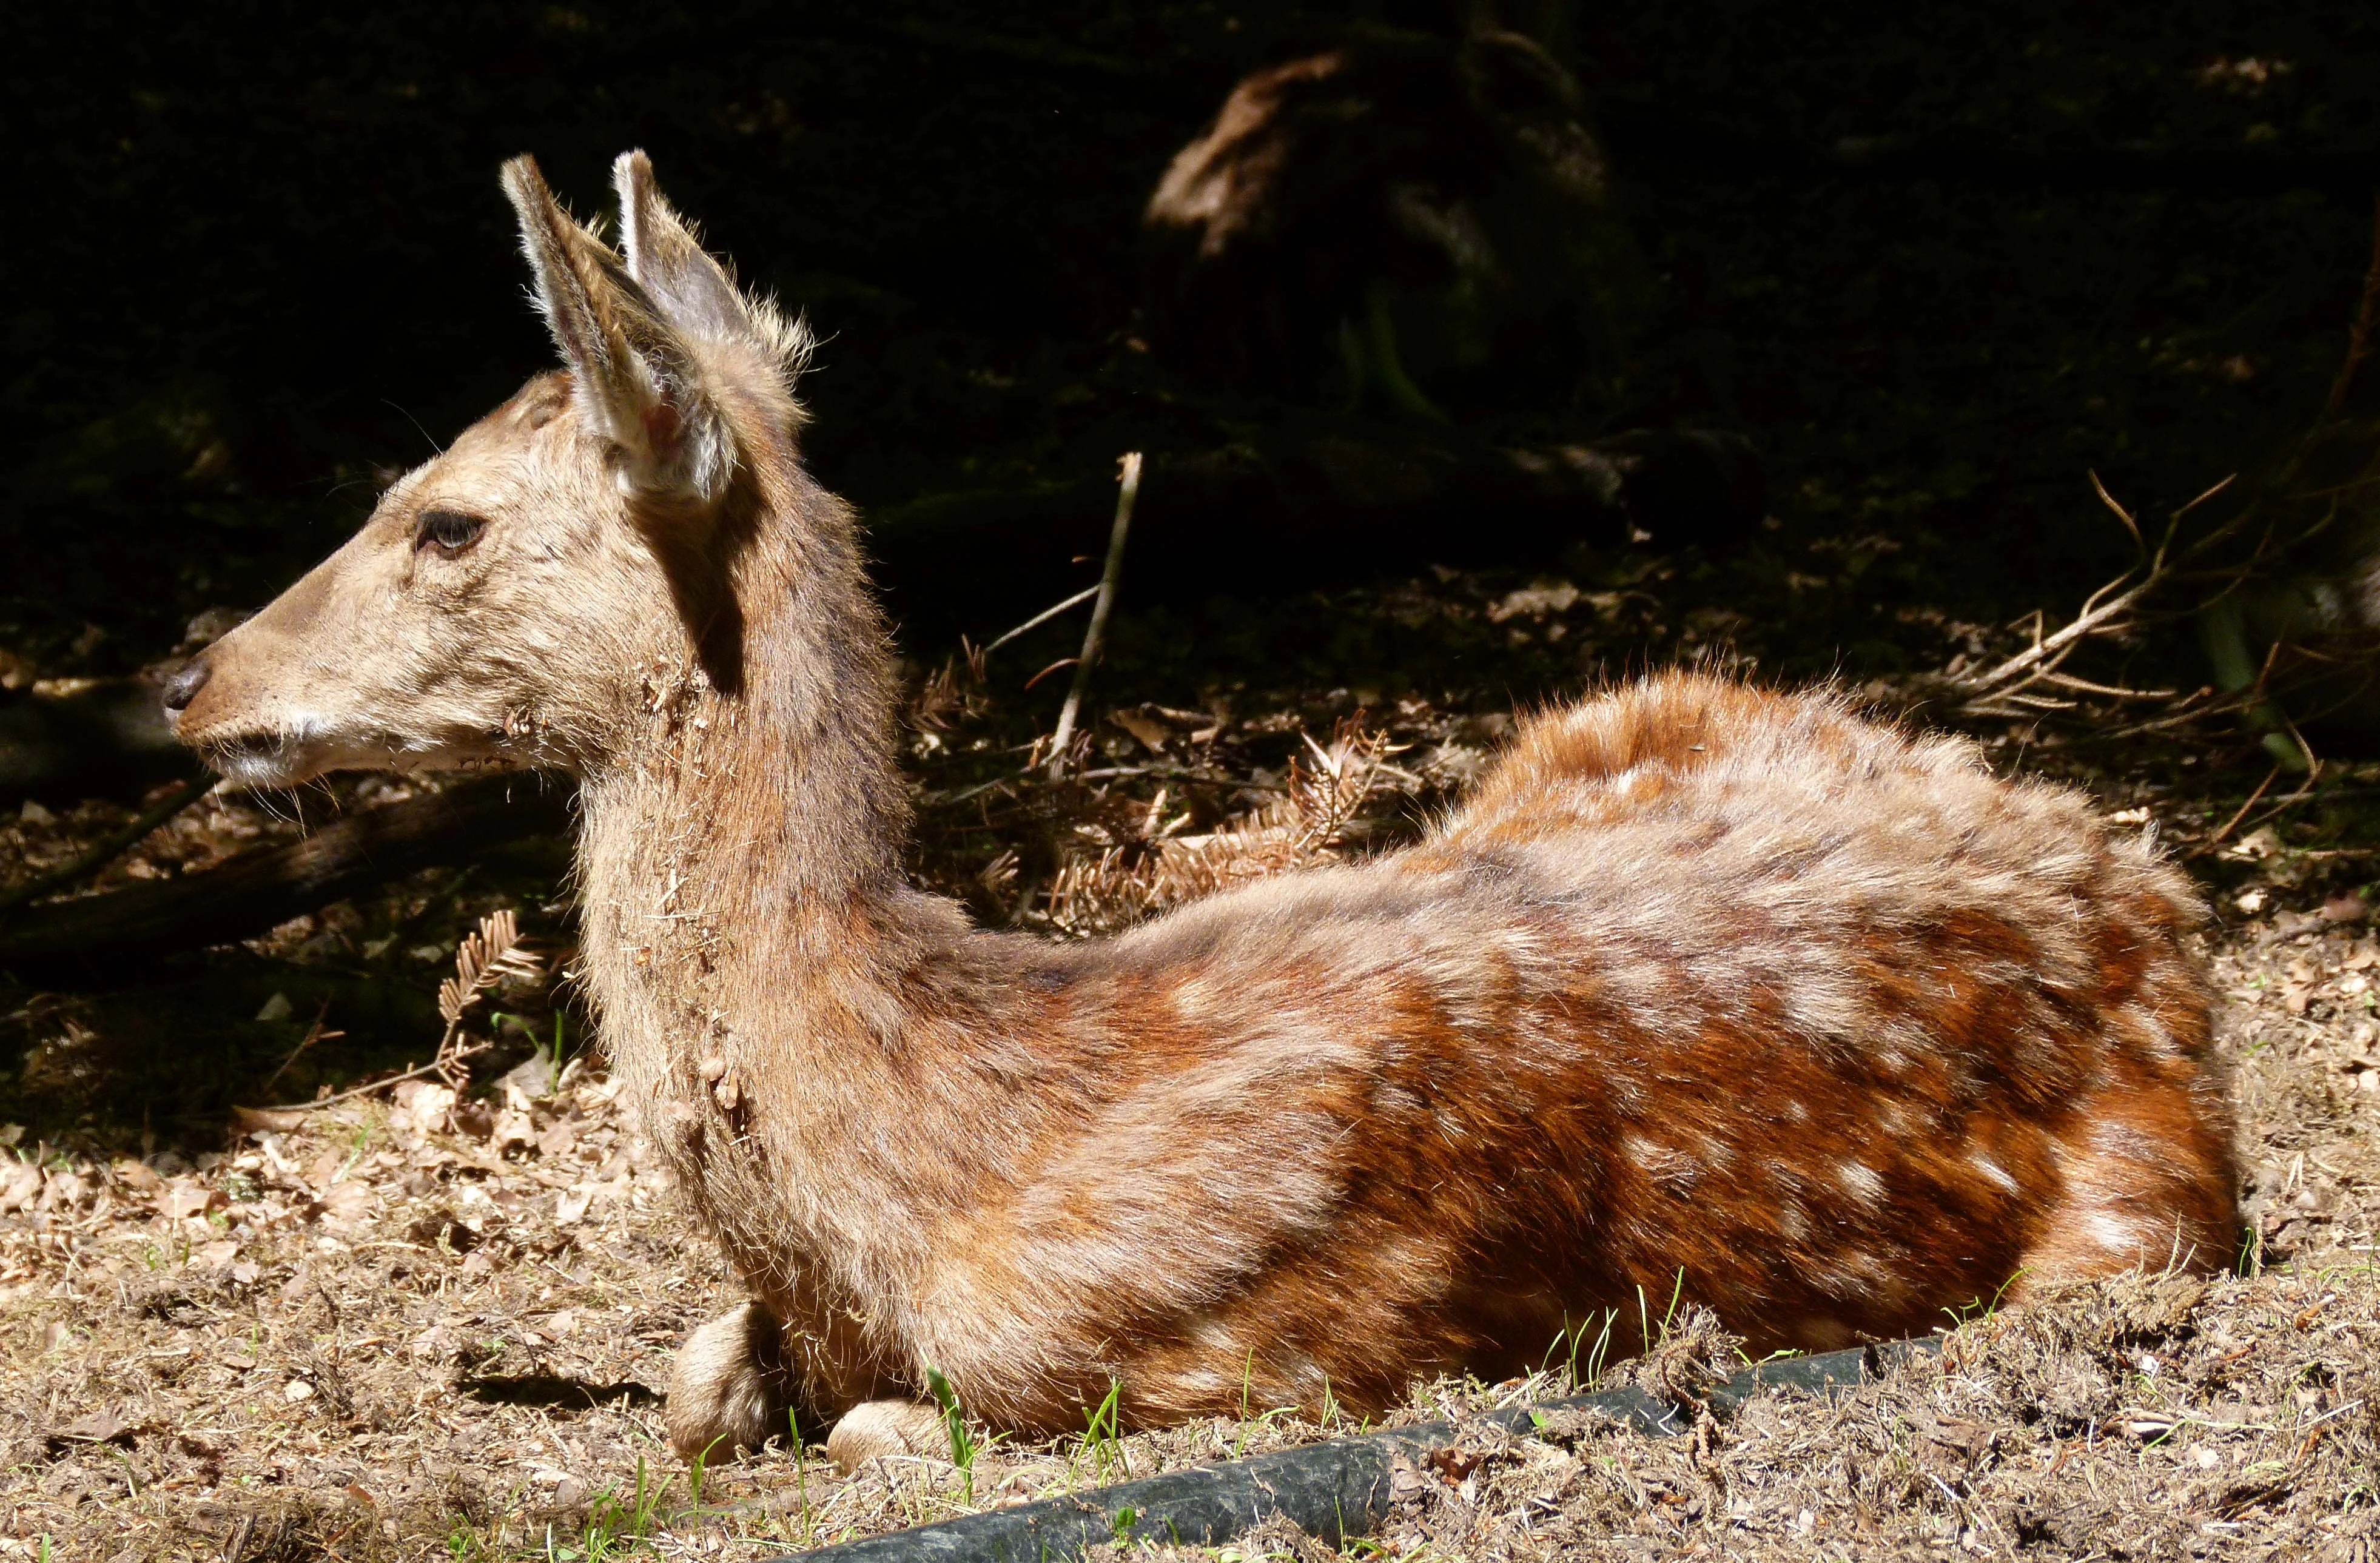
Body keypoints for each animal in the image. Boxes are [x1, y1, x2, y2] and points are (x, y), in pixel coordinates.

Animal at [165, 152, 2241, 1473]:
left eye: (444, 520)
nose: (193, 680)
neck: (904, 1171)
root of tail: (2121, 850)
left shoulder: (1271, 1342)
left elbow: (888, 1426)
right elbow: (702, 1381)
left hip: (2144, 1209)